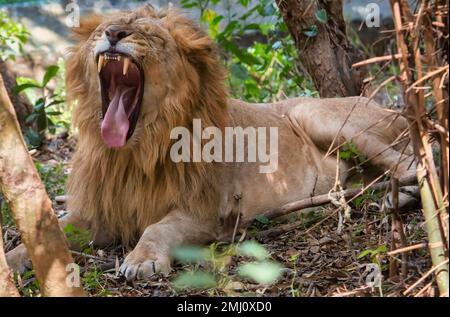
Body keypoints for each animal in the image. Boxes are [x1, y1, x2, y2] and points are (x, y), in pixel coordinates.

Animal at [7, 4, 414, 280]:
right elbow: (45, 234)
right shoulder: (97, 211)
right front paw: (9, 263)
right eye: (104, 29)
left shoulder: (206, 213)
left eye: (148, 35)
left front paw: (141, 259)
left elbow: (158, 228)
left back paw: (399, 196)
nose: (115, 34)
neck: (135, 152)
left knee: (409, 162)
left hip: (318, 117)